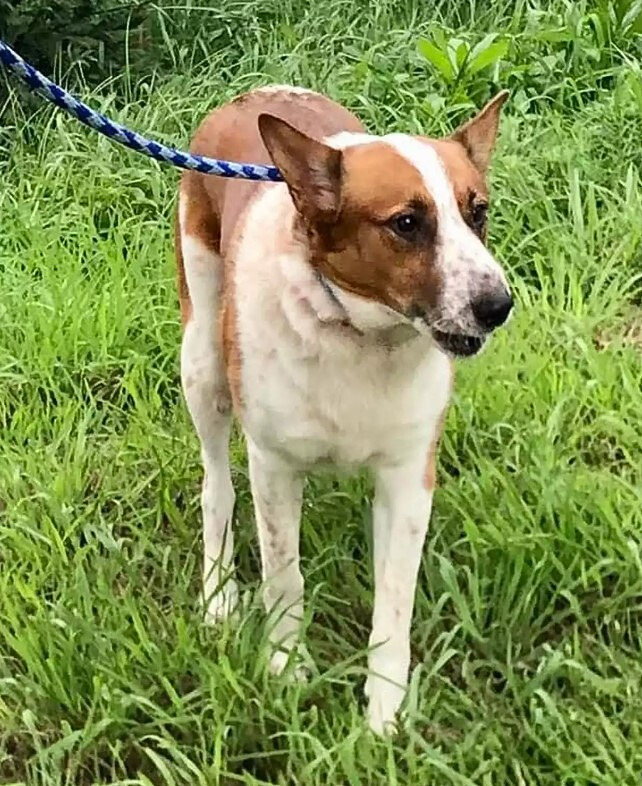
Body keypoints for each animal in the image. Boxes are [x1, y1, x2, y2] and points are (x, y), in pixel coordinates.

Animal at [174, 87, 510, 736]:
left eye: (477, 212)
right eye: (407, 223)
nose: (497, 305)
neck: (361, 335)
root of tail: (253, 94)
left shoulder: (409, 476)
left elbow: (395, 598)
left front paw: (385, 710)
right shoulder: (274, 466)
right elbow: (284, 573)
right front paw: (286, 666)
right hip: (201, 358)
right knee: (216, 489)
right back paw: (219, 595)